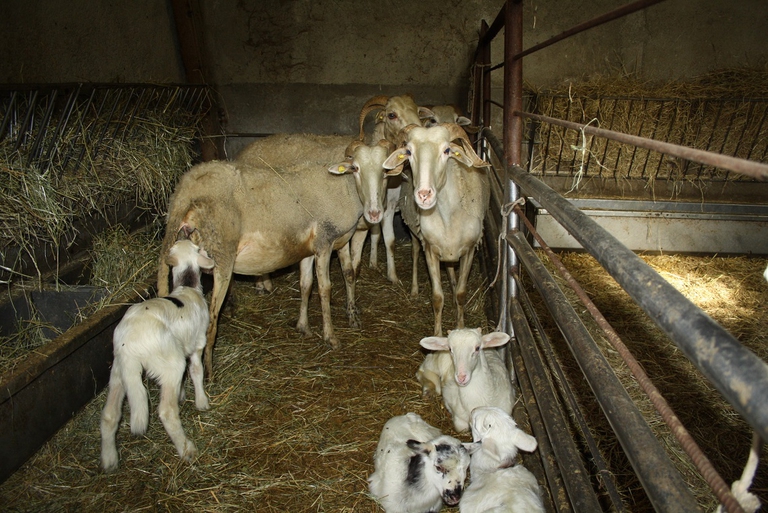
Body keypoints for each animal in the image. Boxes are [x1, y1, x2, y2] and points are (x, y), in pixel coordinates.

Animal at [100, 239, 214, 472]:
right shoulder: (197, 342)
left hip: (119, 371)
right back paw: (187, 450)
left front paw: (182, 394)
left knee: (109, 414)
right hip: (170, 362)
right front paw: (201, 401)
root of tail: (129, 344)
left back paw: (109, 459)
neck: (187, 286)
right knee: (167, 412)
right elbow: (196, 371)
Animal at [157, 157, 364, 377]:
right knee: (211, 325)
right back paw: (210, 373)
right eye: (355, 168)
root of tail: (186, 192)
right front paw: (331, 336)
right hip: (222, 254)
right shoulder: (325, 242)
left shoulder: (320, 246)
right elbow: (326, 288)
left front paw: (314, 324)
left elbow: (320, 281)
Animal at [384, 123, 490, 336]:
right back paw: (414, 290)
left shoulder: (469, 250)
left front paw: (460, 327)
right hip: (415, 235)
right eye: (409, 151)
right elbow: (437, 298)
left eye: (447, 150)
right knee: (415, 254)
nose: (424, 195)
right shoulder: (431, 251)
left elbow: (461, 294)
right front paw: (437, 335)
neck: (448, 215)